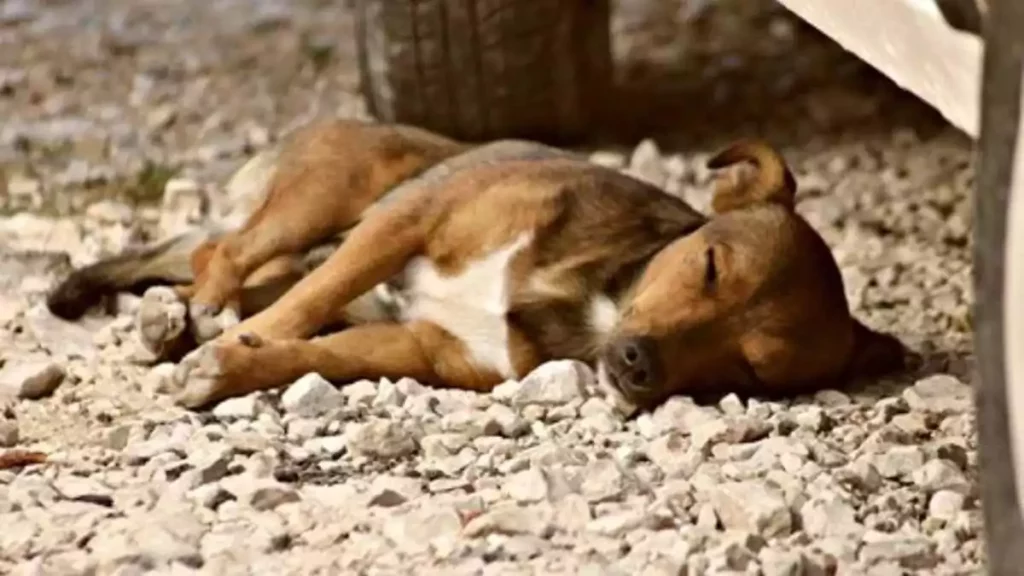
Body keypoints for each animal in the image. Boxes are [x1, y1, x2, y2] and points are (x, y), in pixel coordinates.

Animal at [46, 118, 905, 409]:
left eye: (752, 368)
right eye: (710, 267)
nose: (637, 366)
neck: (592, 299)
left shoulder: (424, 348)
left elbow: (314, 352)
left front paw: (231, 365)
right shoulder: (408, 220)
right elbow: (301, 313)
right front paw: (230, 345)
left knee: (224, 267)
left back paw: (174, 322)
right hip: (332, 198)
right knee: (222, 252)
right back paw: (195, 313)